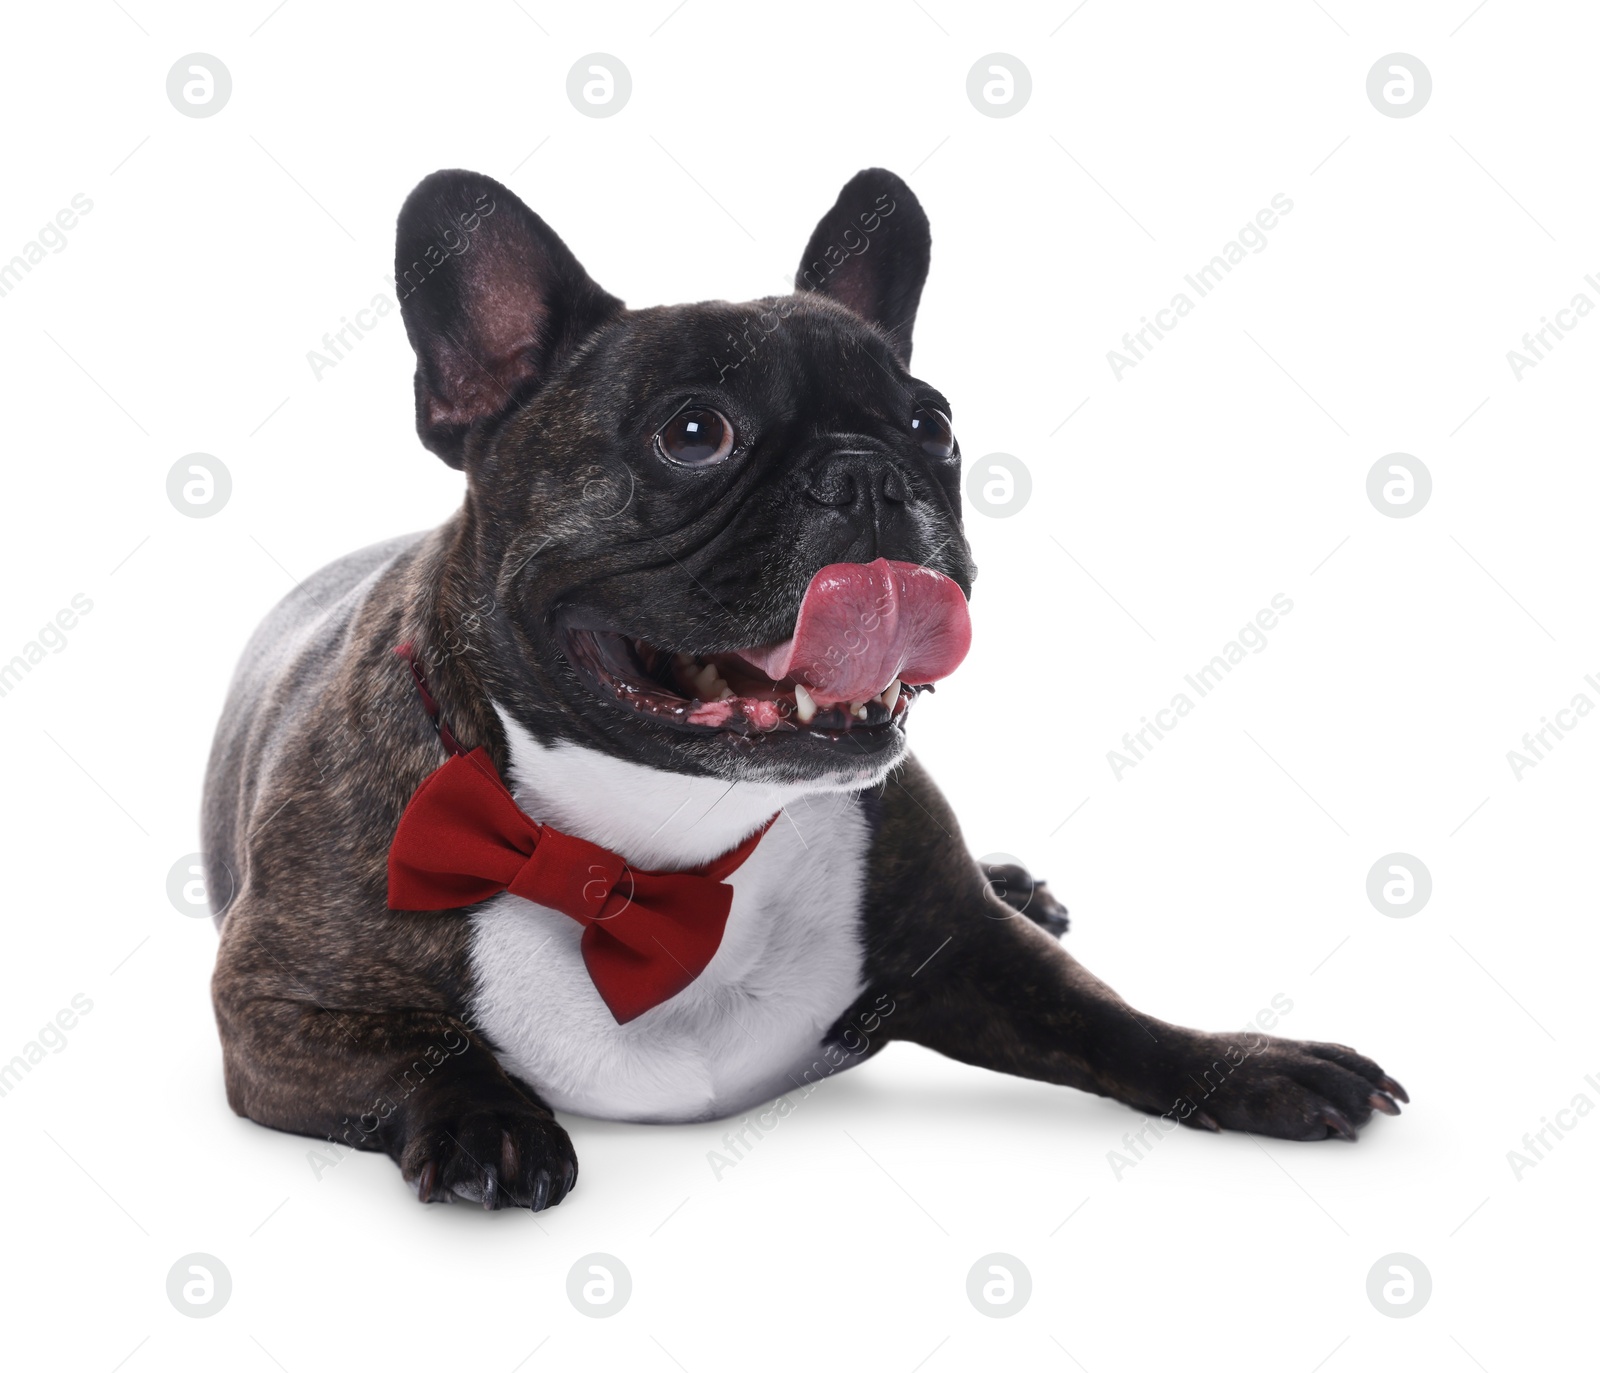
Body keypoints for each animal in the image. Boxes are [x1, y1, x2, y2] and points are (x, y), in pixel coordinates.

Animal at [203, 165, 1401, 1203]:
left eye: (932, 423)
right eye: (694, 431)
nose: (869, 469)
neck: (654, 852)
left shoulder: (970, 944)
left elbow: (1109, 1019)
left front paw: (1252, 1061)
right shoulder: (273, 1006)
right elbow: (423, 1054)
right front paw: (489, 1121)